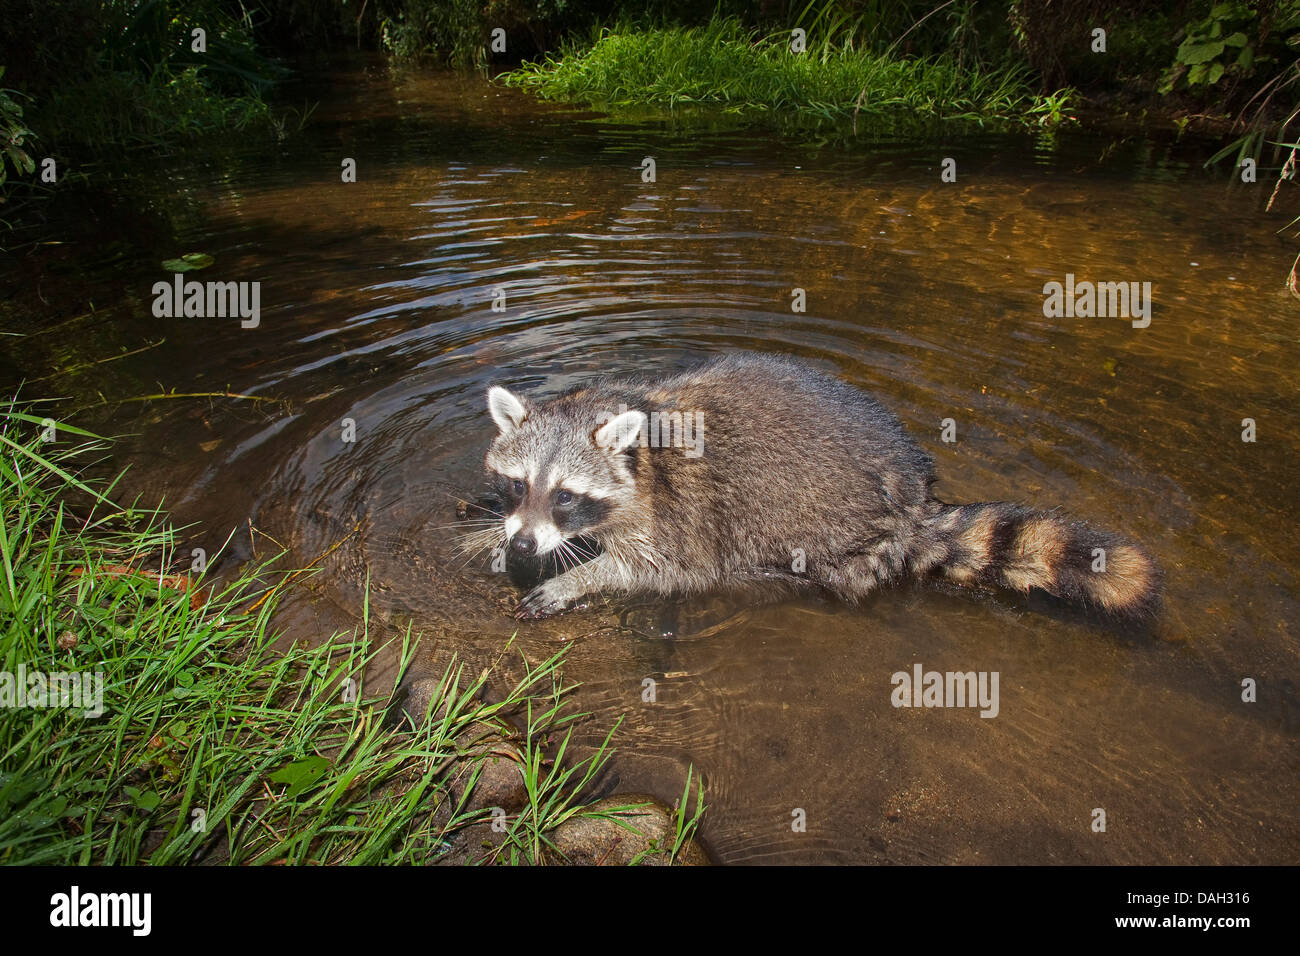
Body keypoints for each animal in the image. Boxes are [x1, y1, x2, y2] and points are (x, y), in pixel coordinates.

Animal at [473, 351, 1164, 621]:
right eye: (517, 486)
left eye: (566, 495)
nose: (524, 546)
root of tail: (915, 499)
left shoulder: (676, 515)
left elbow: (661, 570)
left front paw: (579, 578)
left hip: (835, 528)